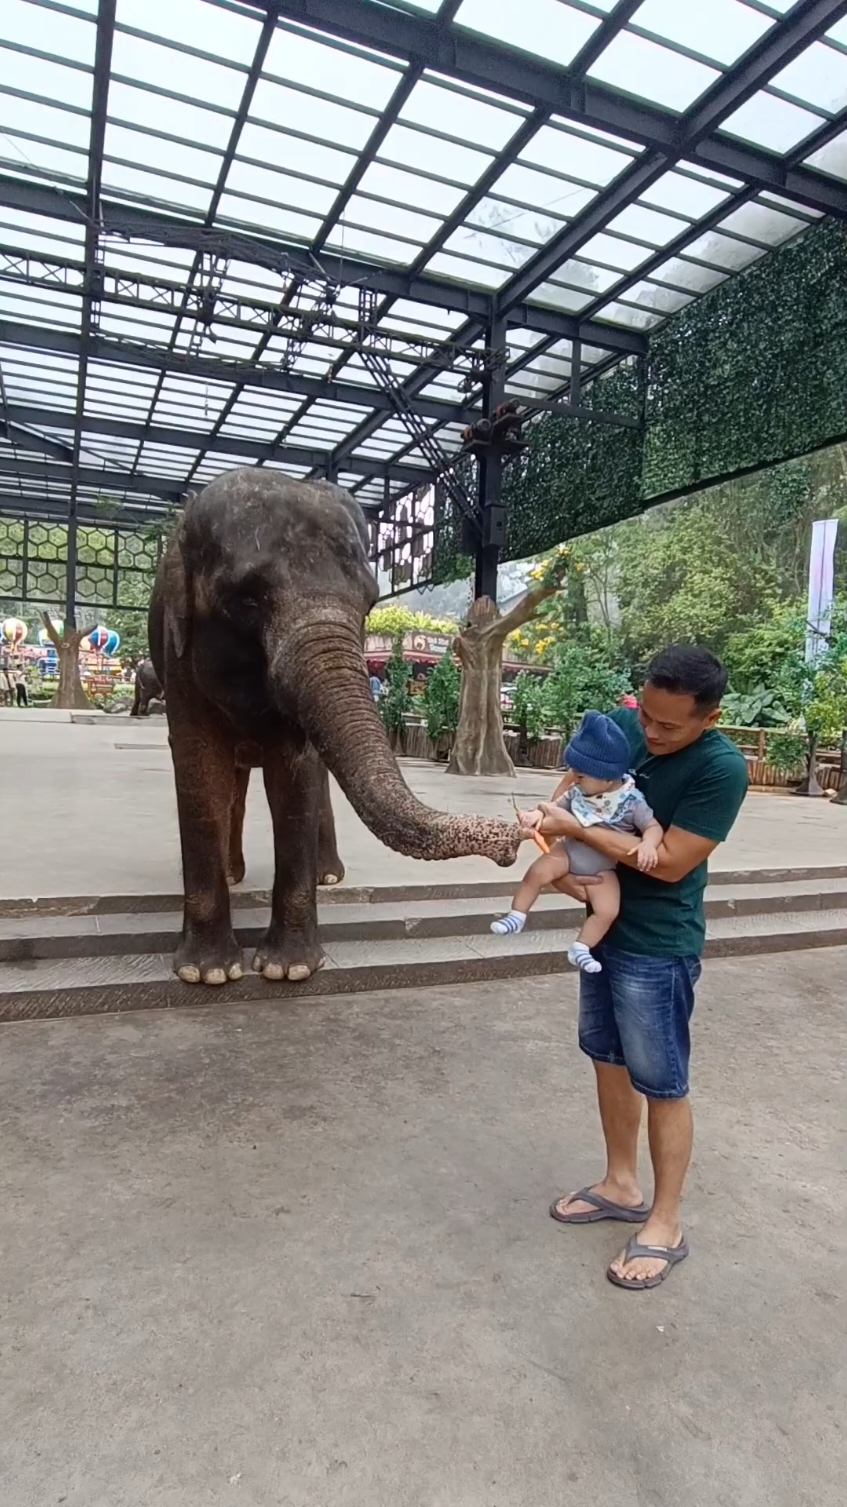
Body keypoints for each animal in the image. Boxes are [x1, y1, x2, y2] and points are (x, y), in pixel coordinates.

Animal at [149, 470, 521, 988]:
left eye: (369, 603)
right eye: (247, 599)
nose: (514, 842)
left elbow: (297, 774)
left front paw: (289, 969)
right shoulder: (176, 658)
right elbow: (200, 768)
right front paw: (209, 974)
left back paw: (326, 876)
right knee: (234, 784)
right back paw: (233, 875)